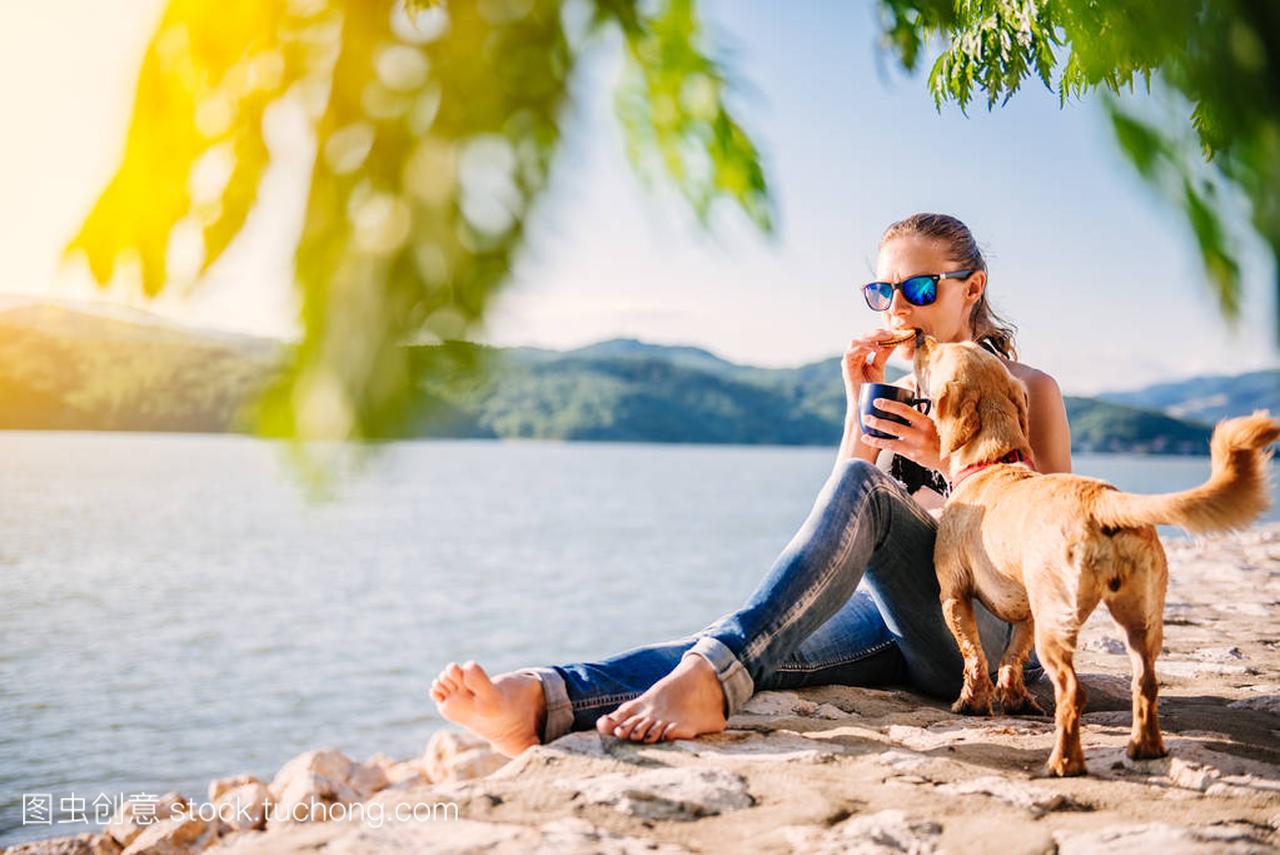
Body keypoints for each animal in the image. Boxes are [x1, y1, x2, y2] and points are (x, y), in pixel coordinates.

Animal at [911, 337, 1280, 778]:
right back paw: (1145, 747)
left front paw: (972, 702)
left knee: (1073, 693)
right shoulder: (1028, 614)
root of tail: (1103, 499)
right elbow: (1012, 657)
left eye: (939, 354)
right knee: (1146, 683)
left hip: (1058, 625)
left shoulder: (954, 596)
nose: (923, 339)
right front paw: (1015, 700)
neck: (994, 463)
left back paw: (1063, 762)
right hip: (1139, 621)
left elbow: (975, 657)